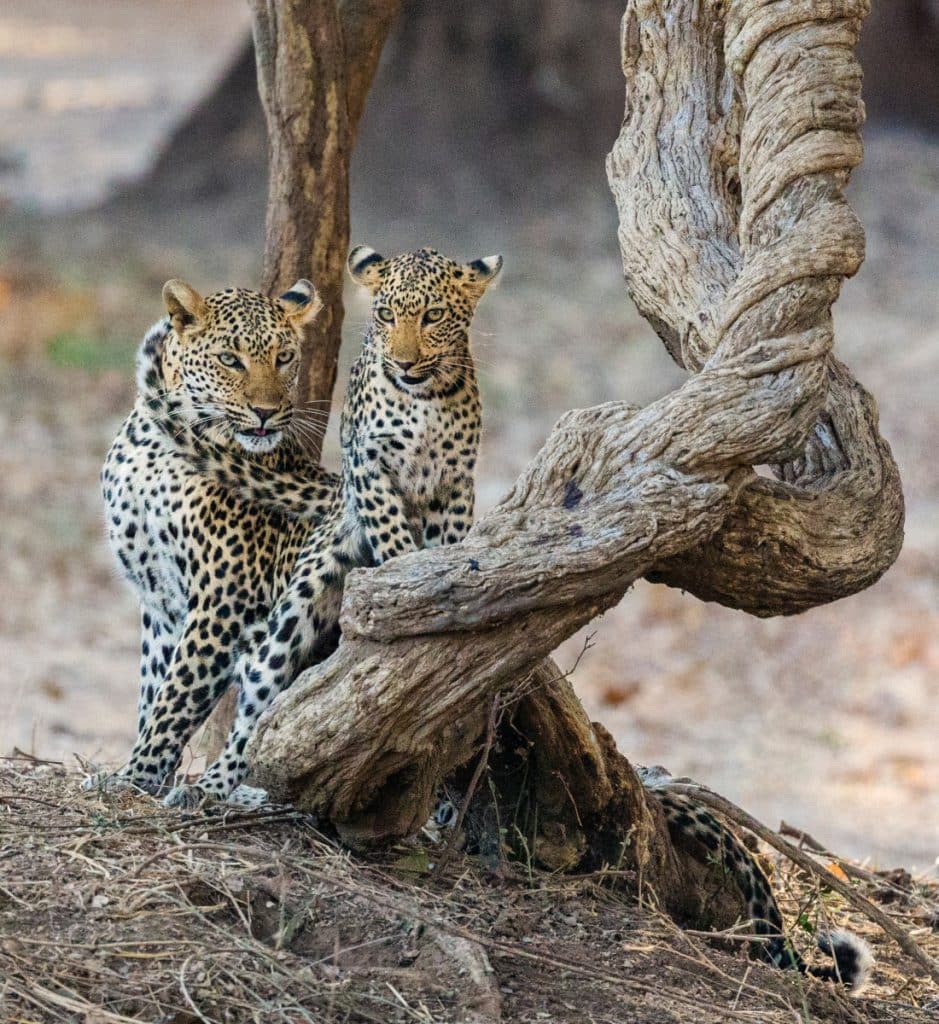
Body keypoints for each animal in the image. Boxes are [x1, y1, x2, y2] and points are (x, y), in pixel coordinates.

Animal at [142, 246, 503, 808]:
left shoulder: (456, 482)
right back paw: (217, 786)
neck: (422, 401)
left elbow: (448, 537)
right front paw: (404, 580)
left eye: (434, 316)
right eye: (385, 316)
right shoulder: (370, 467)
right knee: (260, 704)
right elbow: (393, 536)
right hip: (294, 607)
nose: (404, 362)